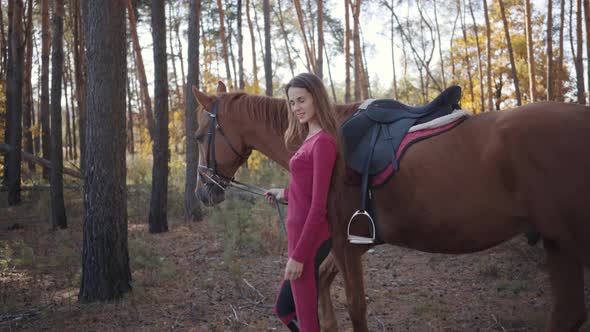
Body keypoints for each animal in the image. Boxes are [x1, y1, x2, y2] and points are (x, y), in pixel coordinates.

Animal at [192, 85, 590, 332]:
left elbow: (355, 305)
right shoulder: (348, 242)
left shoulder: (345, 243)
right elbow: (321, 278)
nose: (202, 192)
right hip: (559, 244)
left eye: (197, 136)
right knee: (568, 313)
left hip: (570, 242)